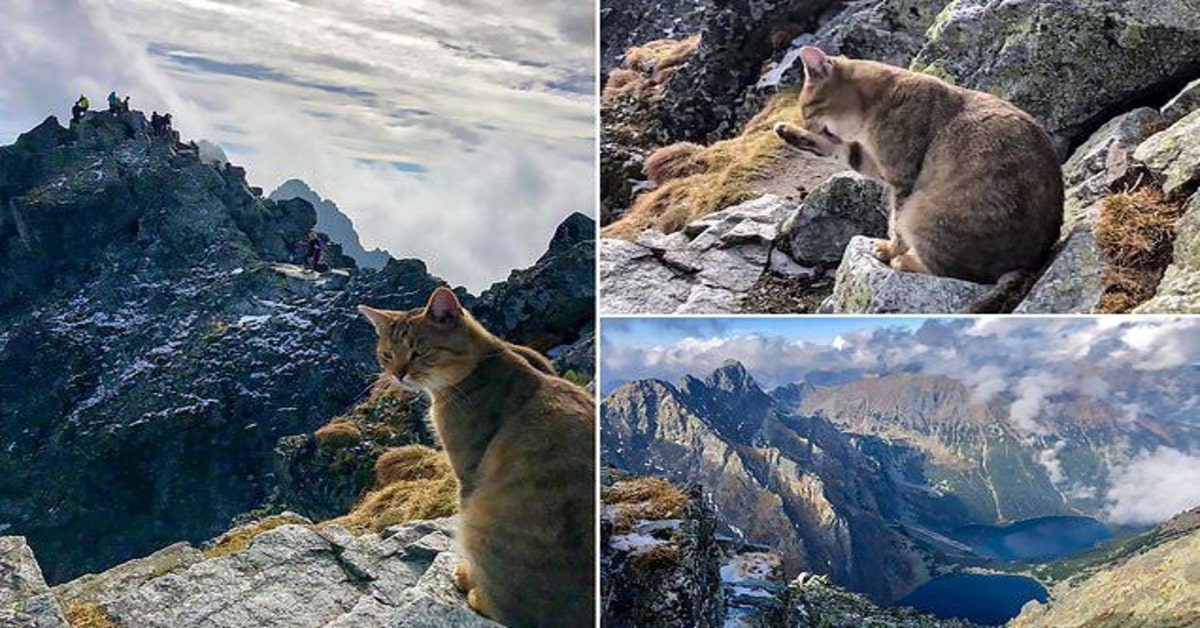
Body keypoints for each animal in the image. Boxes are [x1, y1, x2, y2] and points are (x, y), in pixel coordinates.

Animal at [357, 289, 597, 624]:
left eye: (419, 351)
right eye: (388, 355)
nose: (398, 374)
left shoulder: (467, 471)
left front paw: (467, 576)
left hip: (481, 521)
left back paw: (477, 594)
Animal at [768, 46, 1060, 312]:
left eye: (807, 108)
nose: (806, 124)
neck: (881, 99)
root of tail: (1028, 264)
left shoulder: (900, 178)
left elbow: (895, 226)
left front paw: (889, 250)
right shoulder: (874, 162)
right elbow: (839, 149)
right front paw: (788, 133)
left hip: (922, 213)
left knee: (952, 270)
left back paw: (906, 261)